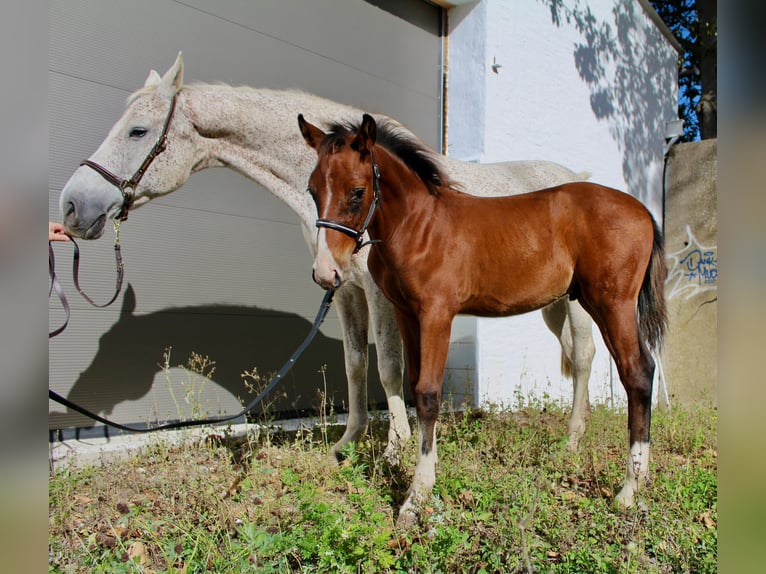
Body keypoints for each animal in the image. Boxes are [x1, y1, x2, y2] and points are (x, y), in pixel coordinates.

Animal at [61, 53, 600, 468]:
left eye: (138, 130)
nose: (72, 206)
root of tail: (577, 176)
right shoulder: (342, 289)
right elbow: (356, 365)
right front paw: (347, 445)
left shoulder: (381, 294)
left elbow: (388, 366)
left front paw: (395, 449)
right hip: (551, 304)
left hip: (577, 303)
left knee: (586, 355)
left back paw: (573, 440)